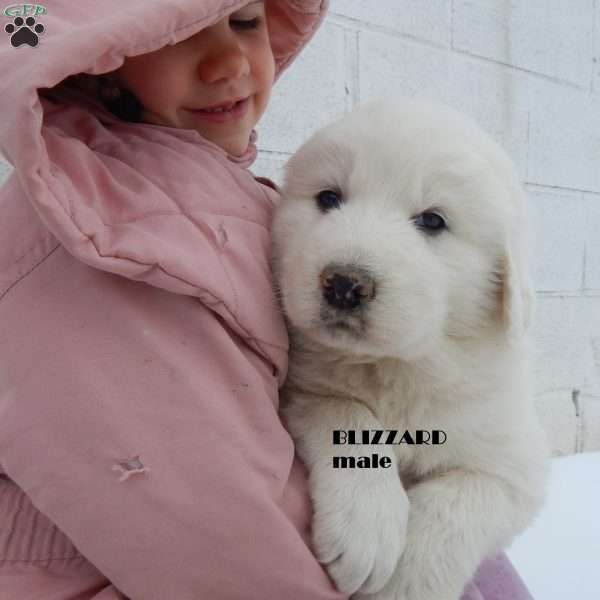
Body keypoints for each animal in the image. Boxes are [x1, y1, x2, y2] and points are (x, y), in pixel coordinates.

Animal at [272, 101, 548, 600]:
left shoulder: (515, 466)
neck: (398, 367)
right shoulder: (304, 389)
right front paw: (367, 529)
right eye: (328, 198)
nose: (344, 284)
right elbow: (346, 412)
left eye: (433, 221)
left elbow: (458, 501)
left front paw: (404, 583)